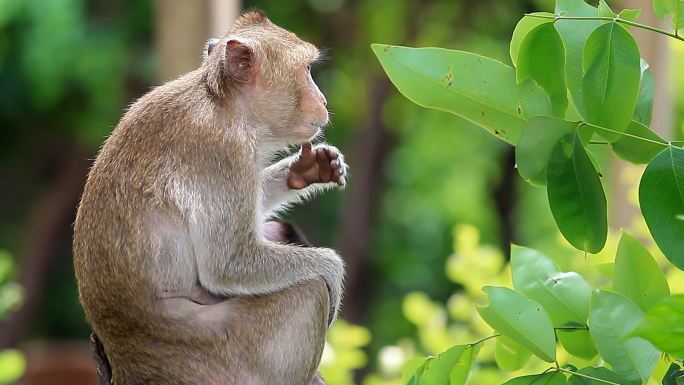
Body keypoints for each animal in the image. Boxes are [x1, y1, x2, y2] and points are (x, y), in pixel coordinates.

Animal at [75, 12, 348, 384]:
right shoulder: (223, 152)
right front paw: (333, 269)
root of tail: (126, 361)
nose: (323, 101)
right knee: (310, 292)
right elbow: (229, 263)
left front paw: (306, 169)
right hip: (220, 356)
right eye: (307, 69)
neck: (221, 102)